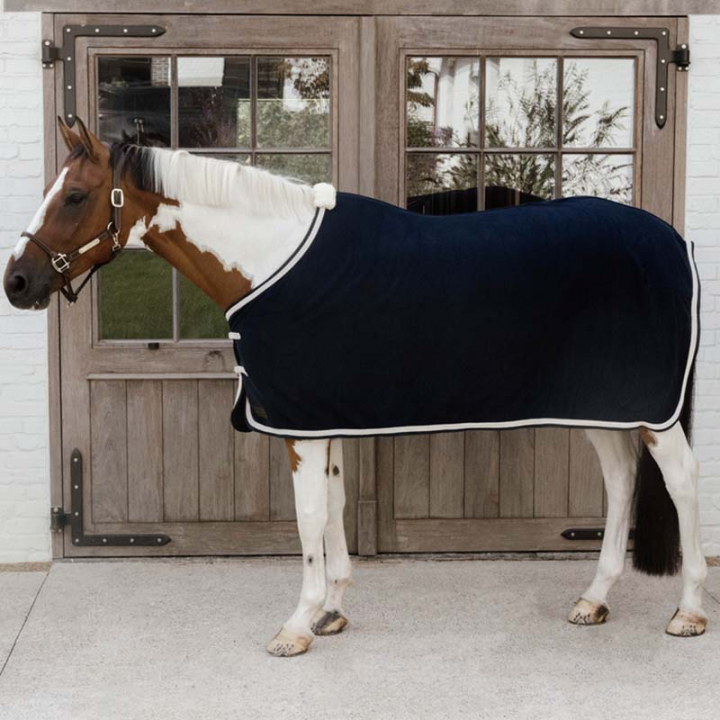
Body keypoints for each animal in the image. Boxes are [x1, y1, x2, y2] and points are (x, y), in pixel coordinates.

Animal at [3, 117, 707, 657]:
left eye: (75, 196)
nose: (17, 282)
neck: (270, 258)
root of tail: (674, 241)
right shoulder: (320, 416)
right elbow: (335, 506)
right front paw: (331, 612)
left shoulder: (300, 425)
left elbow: (310, 516)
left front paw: (296, 625)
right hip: (606, 405)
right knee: (620, 479)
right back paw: (594, 599)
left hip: (651, 410)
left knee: (680, 481)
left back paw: (689, 611)